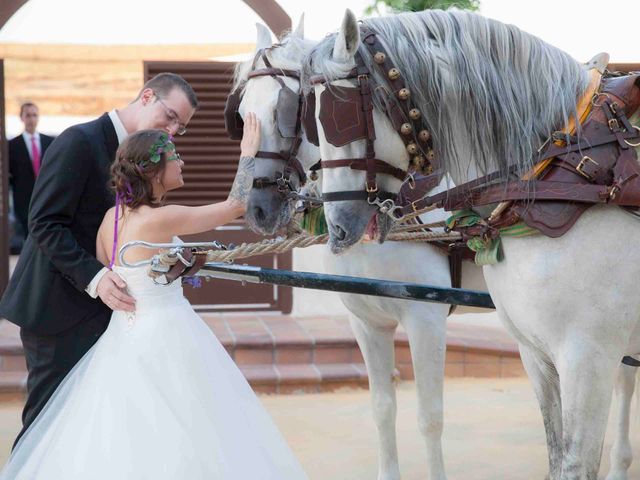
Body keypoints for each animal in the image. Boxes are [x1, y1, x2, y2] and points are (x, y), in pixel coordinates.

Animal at [230, 19, 484, 480]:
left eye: (290, 112)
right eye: (242, 116)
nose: (256, 209)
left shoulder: (426, 319)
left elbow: (430, 418)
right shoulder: (367, 321)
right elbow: (383, 408)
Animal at [304, 7, 640, 480]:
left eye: (338, 114)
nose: (336, 227)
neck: (562, 172)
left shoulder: (588, 358)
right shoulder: (536, 354)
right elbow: (555, 456)